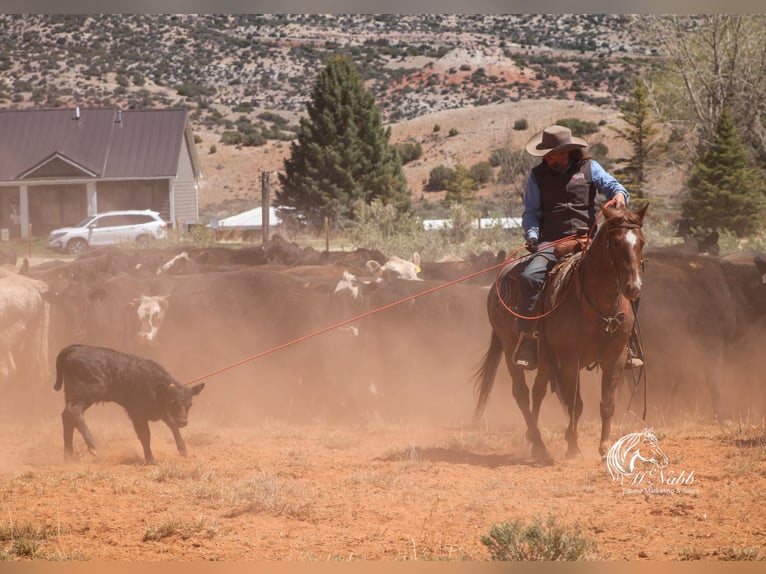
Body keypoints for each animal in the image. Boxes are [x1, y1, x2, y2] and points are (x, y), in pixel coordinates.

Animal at [52, 346, 206, 464]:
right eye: (172, 402)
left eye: (190, 404)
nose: (183, 421)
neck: (156, 387)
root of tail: (76, 348)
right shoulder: (137, 414)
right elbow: (145, 435)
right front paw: (151, 459)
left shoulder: (163, 412)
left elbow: (173, 426)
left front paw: (183, 450)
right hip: (88, 393)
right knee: (74, 411)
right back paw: (92, 445)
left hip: (71, 394)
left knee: (67, 417)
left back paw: (69, 457)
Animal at [474, 205, 648, 462]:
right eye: (616, 243)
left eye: (641, 242)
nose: (633, 287)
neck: (599, 307)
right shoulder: (569, 360)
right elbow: (575, 404)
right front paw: (573, 447)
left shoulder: (614, 359)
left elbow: (606, 403)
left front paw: (605, 448)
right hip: (509, 348)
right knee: (522, 394)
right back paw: (538, 444)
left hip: (546, 359)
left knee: (538, 391)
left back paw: (533, 440)